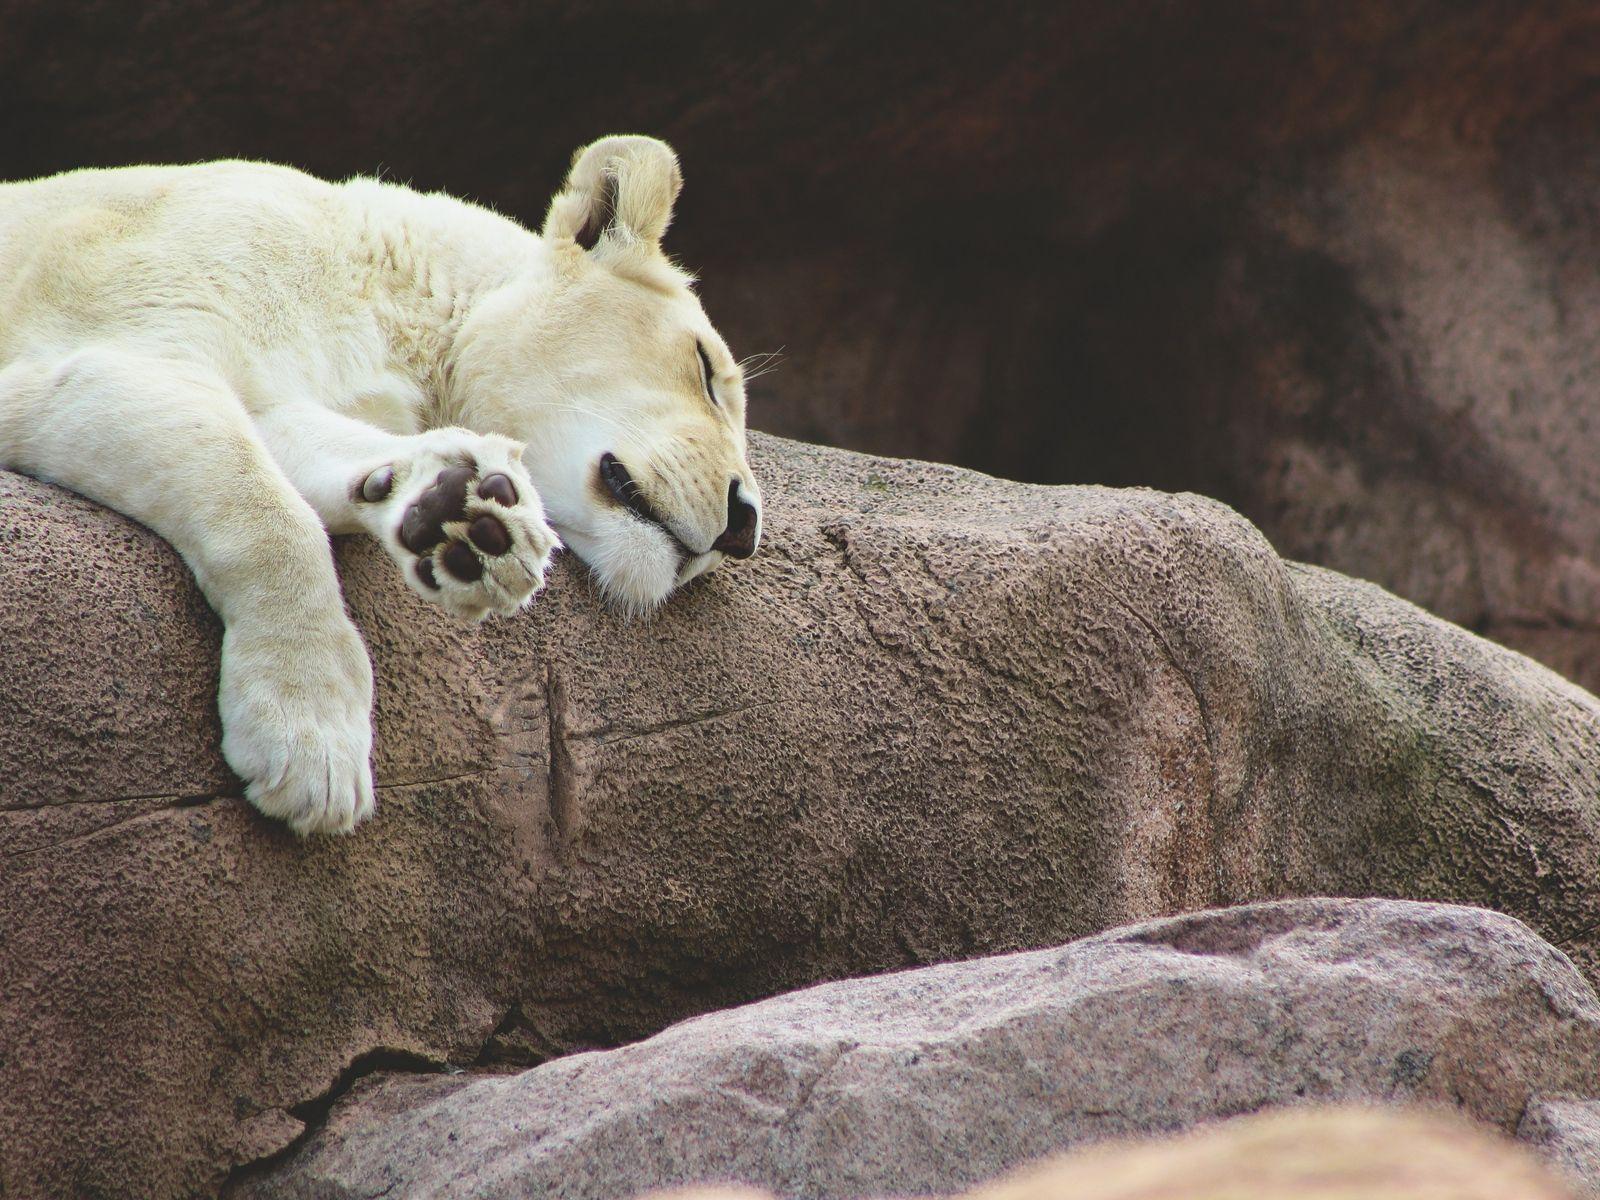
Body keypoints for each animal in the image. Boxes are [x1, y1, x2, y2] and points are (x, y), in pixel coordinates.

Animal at [0, 136, 762, 835]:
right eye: (704, 367)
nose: (745, 524)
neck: (399, 305)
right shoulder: (107, 339)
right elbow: (265, 513)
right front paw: (309, 742)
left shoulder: (289, 393)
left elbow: (318, 453)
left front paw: (465, 517)